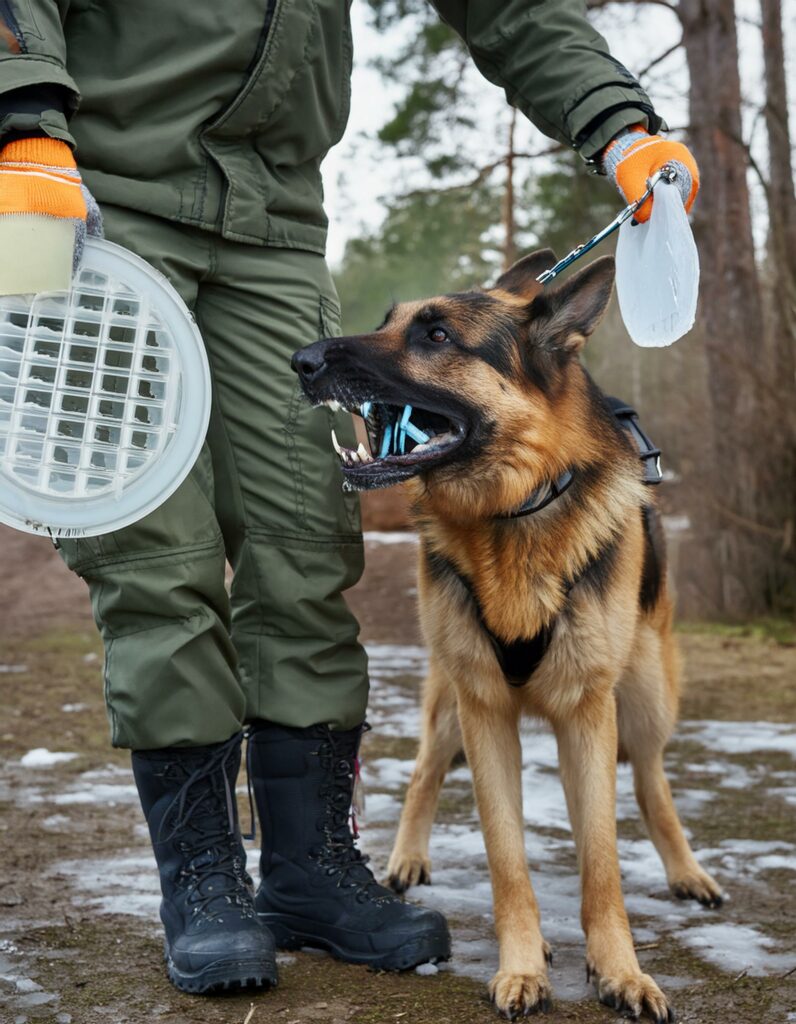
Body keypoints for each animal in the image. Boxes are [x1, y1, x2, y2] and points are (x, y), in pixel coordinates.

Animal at [290, 251, 721, 1019]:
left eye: (435, 335)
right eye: (389, 322)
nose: (302, 360)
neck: (514, 512)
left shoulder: (589, 712)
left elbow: (602, 861)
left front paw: (621, 970)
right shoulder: (485, 709)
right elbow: (506, 857)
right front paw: (523, 963)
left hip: (644, 694)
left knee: (649, 780)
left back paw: (685, 869)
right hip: (450, 702)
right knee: (427, 770)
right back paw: (407, 857)